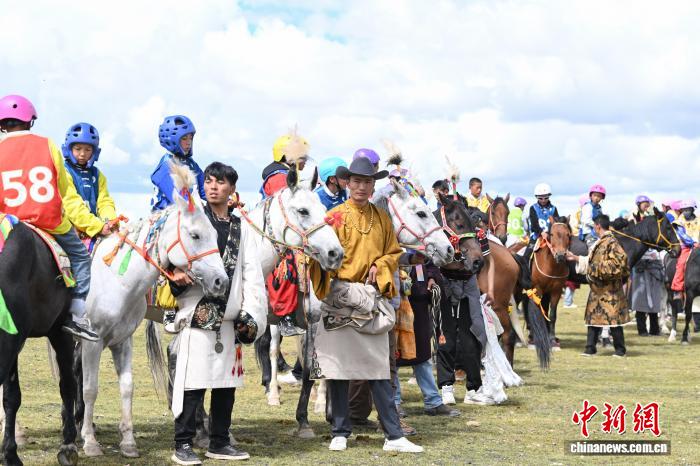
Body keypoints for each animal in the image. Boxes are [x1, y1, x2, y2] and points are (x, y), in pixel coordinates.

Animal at [78, 164, 229, 458]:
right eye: (195, 235)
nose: (221, 281)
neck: (115, 281)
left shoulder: (122, 341)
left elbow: (127, 387)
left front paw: (128, 442)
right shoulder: (92, 342)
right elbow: (90, 388)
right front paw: (90, 442)